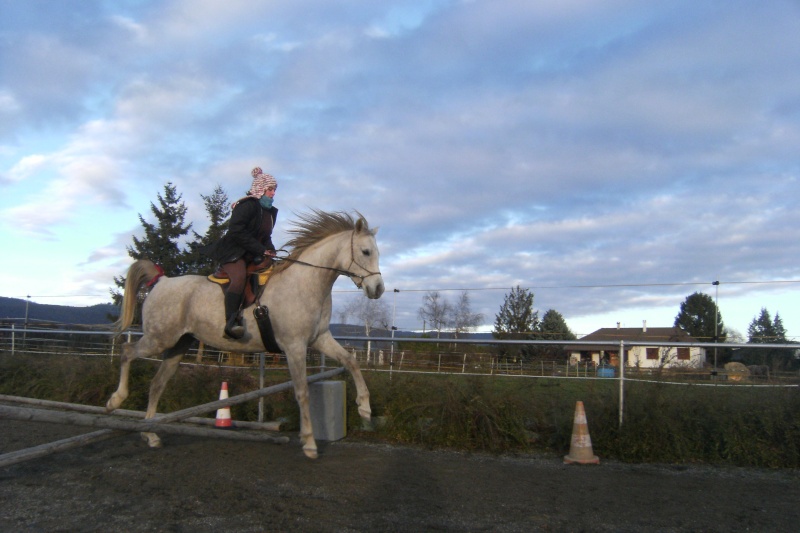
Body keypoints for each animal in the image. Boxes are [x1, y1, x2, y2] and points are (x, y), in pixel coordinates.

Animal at [106, 208, 384, 458]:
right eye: (366, 252)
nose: (378, 289)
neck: (306, 282)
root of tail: (162, 282)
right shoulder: (294, 346)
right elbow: (302, 391)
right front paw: (309, 443)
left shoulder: (320, 338)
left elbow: (351, 361)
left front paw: (365, 408)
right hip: (159, 339)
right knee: (127, 352)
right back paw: (116, 401)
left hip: (178, 345)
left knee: (157, 384)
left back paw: (150, 433)